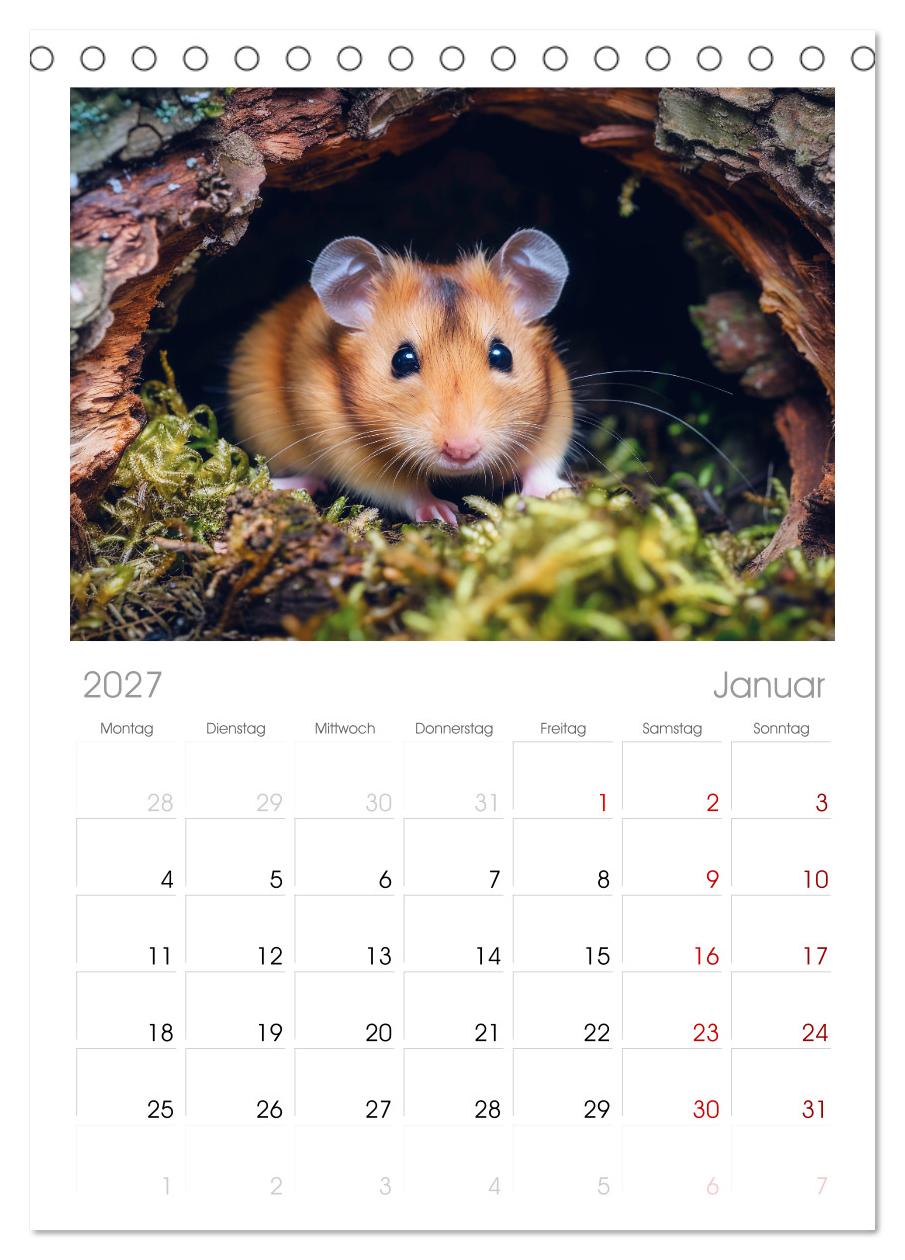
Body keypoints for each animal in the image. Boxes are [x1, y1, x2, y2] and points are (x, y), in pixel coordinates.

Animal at [228, 229, 574, 524]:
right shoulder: (349, 453)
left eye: (503, 355)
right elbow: (403, 490)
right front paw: (441, 512)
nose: (461, 451)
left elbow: (543, 464)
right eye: (402, 360)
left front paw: (555, 495)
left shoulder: (557, 412)